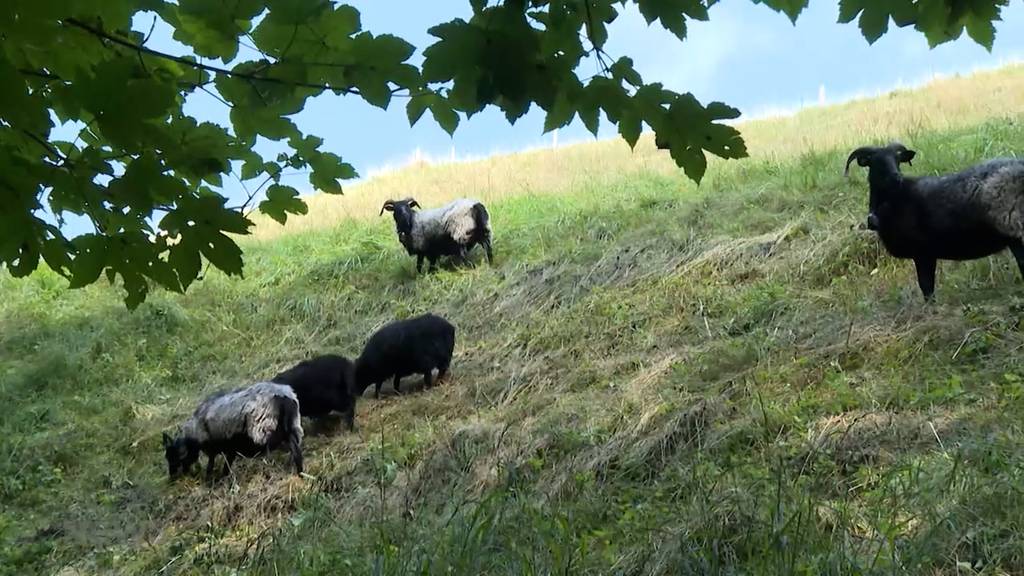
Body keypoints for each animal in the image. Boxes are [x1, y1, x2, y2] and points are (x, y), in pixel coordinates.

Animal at [160, 381, 303, 479]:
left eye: (175, 457)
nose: (172, 477)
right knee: (296, 451)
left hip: (264, 430)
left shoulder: (221, 447)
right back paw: (299, 472)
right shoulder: (230, 448)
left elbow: (214, 465)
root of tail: (282, 396)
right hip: (292, 427)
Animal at [843, 142, 1024, 301]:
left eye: (897, 160)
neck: (894, 198)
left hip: (1014, 227)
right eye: (875, 160)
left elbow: (926, 288)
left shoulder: (922, 253)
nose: (896, 177)